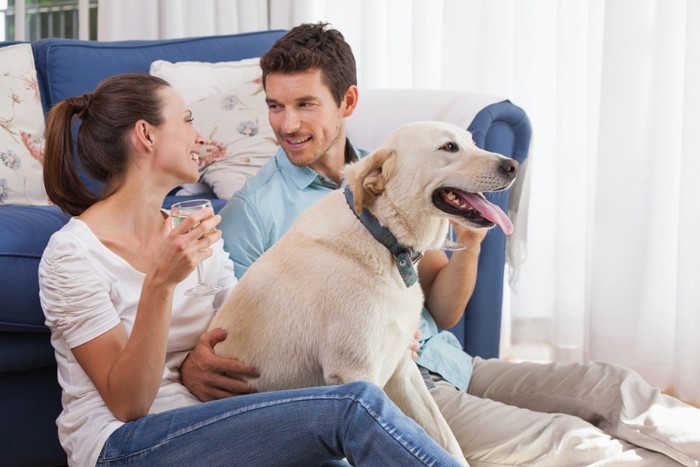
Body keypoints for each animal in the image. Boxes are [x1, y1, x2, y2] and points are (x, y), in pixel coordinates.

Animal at [208, 120, 516, 464]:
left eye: (472, 142)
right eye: (449, 147)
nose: (513, 166)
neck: (383, 237)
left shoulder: (402, 367)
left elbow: (446, 440)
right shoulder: (356, 376)